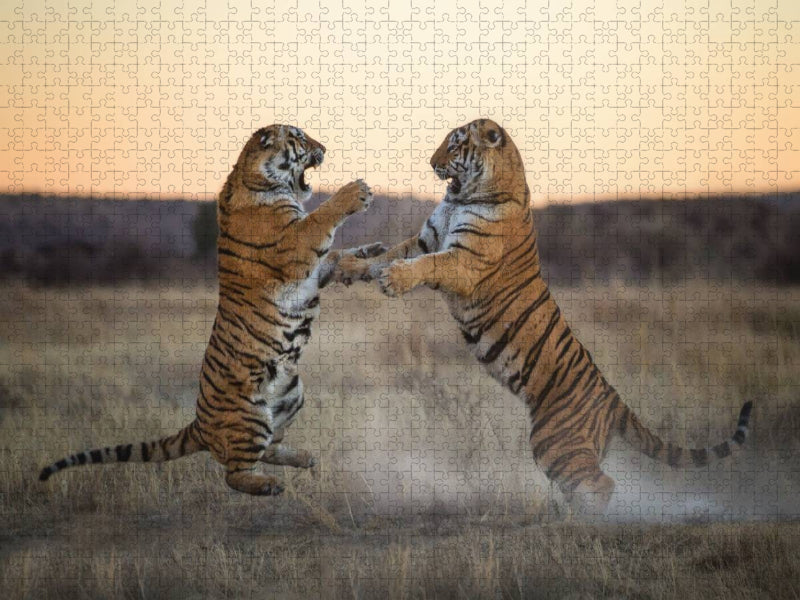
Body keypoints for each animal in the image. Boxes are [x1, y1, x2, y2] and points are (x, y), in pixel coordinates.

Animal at [39, 124, 384, 496]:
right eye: (300, 137)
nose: (325, 148)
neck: (259, 179)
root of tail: (199, 425)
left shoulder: (312, 270)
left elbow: (339, 257)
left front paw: (372, 257)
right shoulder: (295, 247)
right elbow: (320, 219)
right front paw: (355, 192)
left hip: (293, 394)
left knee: (270, 449)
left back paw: (306, 458)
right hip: (250, 418)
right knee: (235, 472)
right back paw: (270, 485)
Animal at [335, 118, 753, 515]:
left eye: (454, 145)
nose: (430, 162)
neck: (464, 196)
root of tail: (613, 398)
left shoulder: (463, 262)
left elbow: (424, 265)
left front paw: (393, 279)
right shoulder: (427, 239)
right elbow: (391, 253)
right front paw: (347, 266)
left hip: (554, 441)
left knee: (603, 485)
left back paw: (579, 522)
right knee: (588, 484)